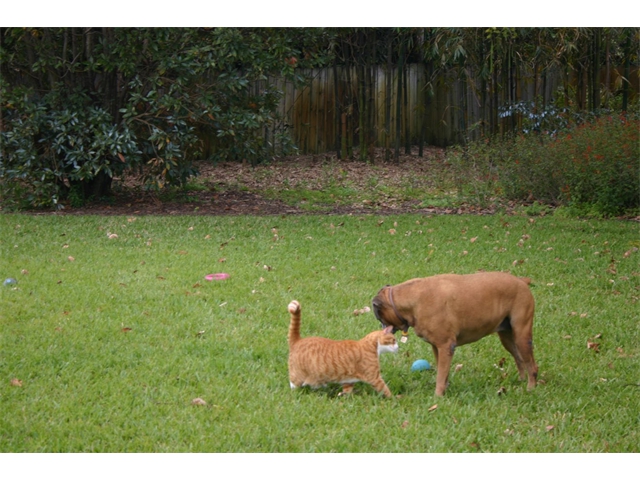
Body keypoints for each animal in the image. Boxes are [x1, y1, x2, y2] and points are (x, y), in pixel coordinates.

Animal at [372, 272, 536, 396]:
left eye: (379, 316)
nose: (381, 326)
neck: (412, 300)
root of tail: (521, 281)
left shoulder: (446, 346)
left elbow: (440, 375)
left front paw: (438, 396)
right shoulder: (437, 348)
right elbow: (443, 373)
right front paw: (445, 389)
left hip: (522, 337)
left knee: (532, 366)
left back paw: (530, 388)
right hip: (508, 339)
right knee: (519, 359)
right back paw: (521, 380)